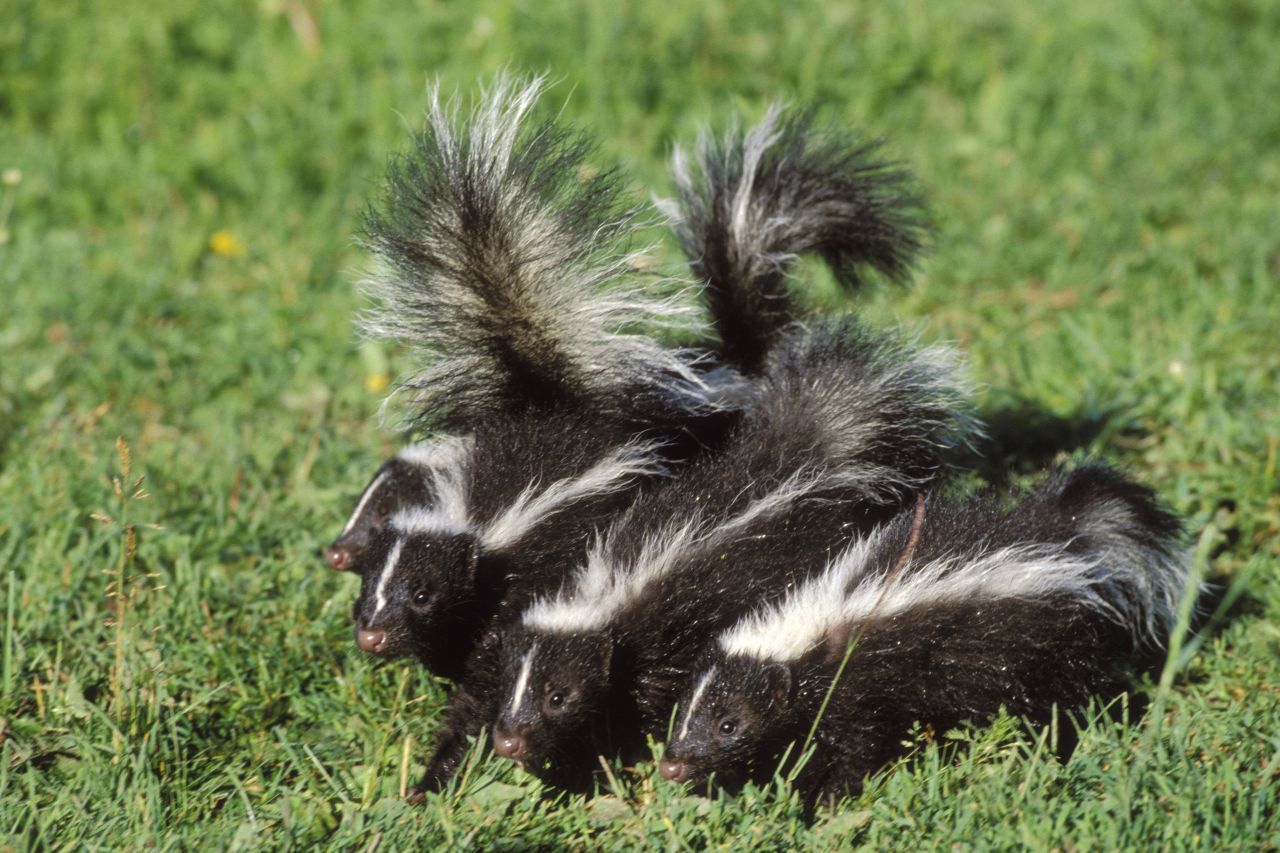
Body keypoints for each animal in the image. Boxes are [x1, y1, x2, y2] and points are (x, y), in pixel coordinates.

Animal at [488, 315, 967, 788]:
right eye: (507, 684)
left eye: (558, 696)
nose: (507, 742)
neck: (607, 591)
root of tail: (800, 460)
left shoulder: (662, 646)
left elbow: (643, 706)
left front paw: (616, 763)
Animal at [660, 458, 1187, 799]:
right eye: (681, 712)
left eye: (730, 724)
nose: (670, 764)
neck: (809, 631)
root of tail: (1055, 533)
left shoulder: (857, 689)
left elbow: (855, 747)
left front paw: (828, 800)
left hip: (1042, 644)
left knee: (1061, 702)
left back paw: (1057, 747)